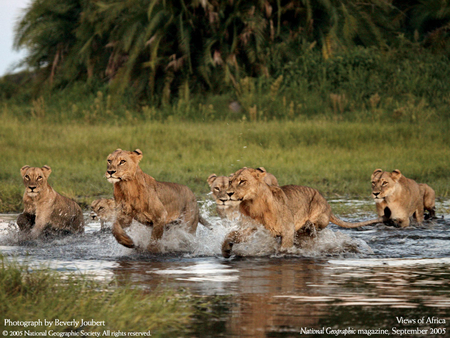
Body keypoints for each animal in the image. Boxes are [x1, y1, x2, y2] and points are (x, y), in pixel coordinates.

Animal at [221, 168, 380, 258]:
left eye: (242, 181)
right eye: (230, 181)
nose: (228, 193)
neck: (253, 204)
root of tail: (328, 204)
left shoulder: (287, 229)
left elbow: (284, 248)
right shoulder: (251, 228)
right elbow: (231, 234)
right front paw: (225, 250)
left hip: (316, 216)